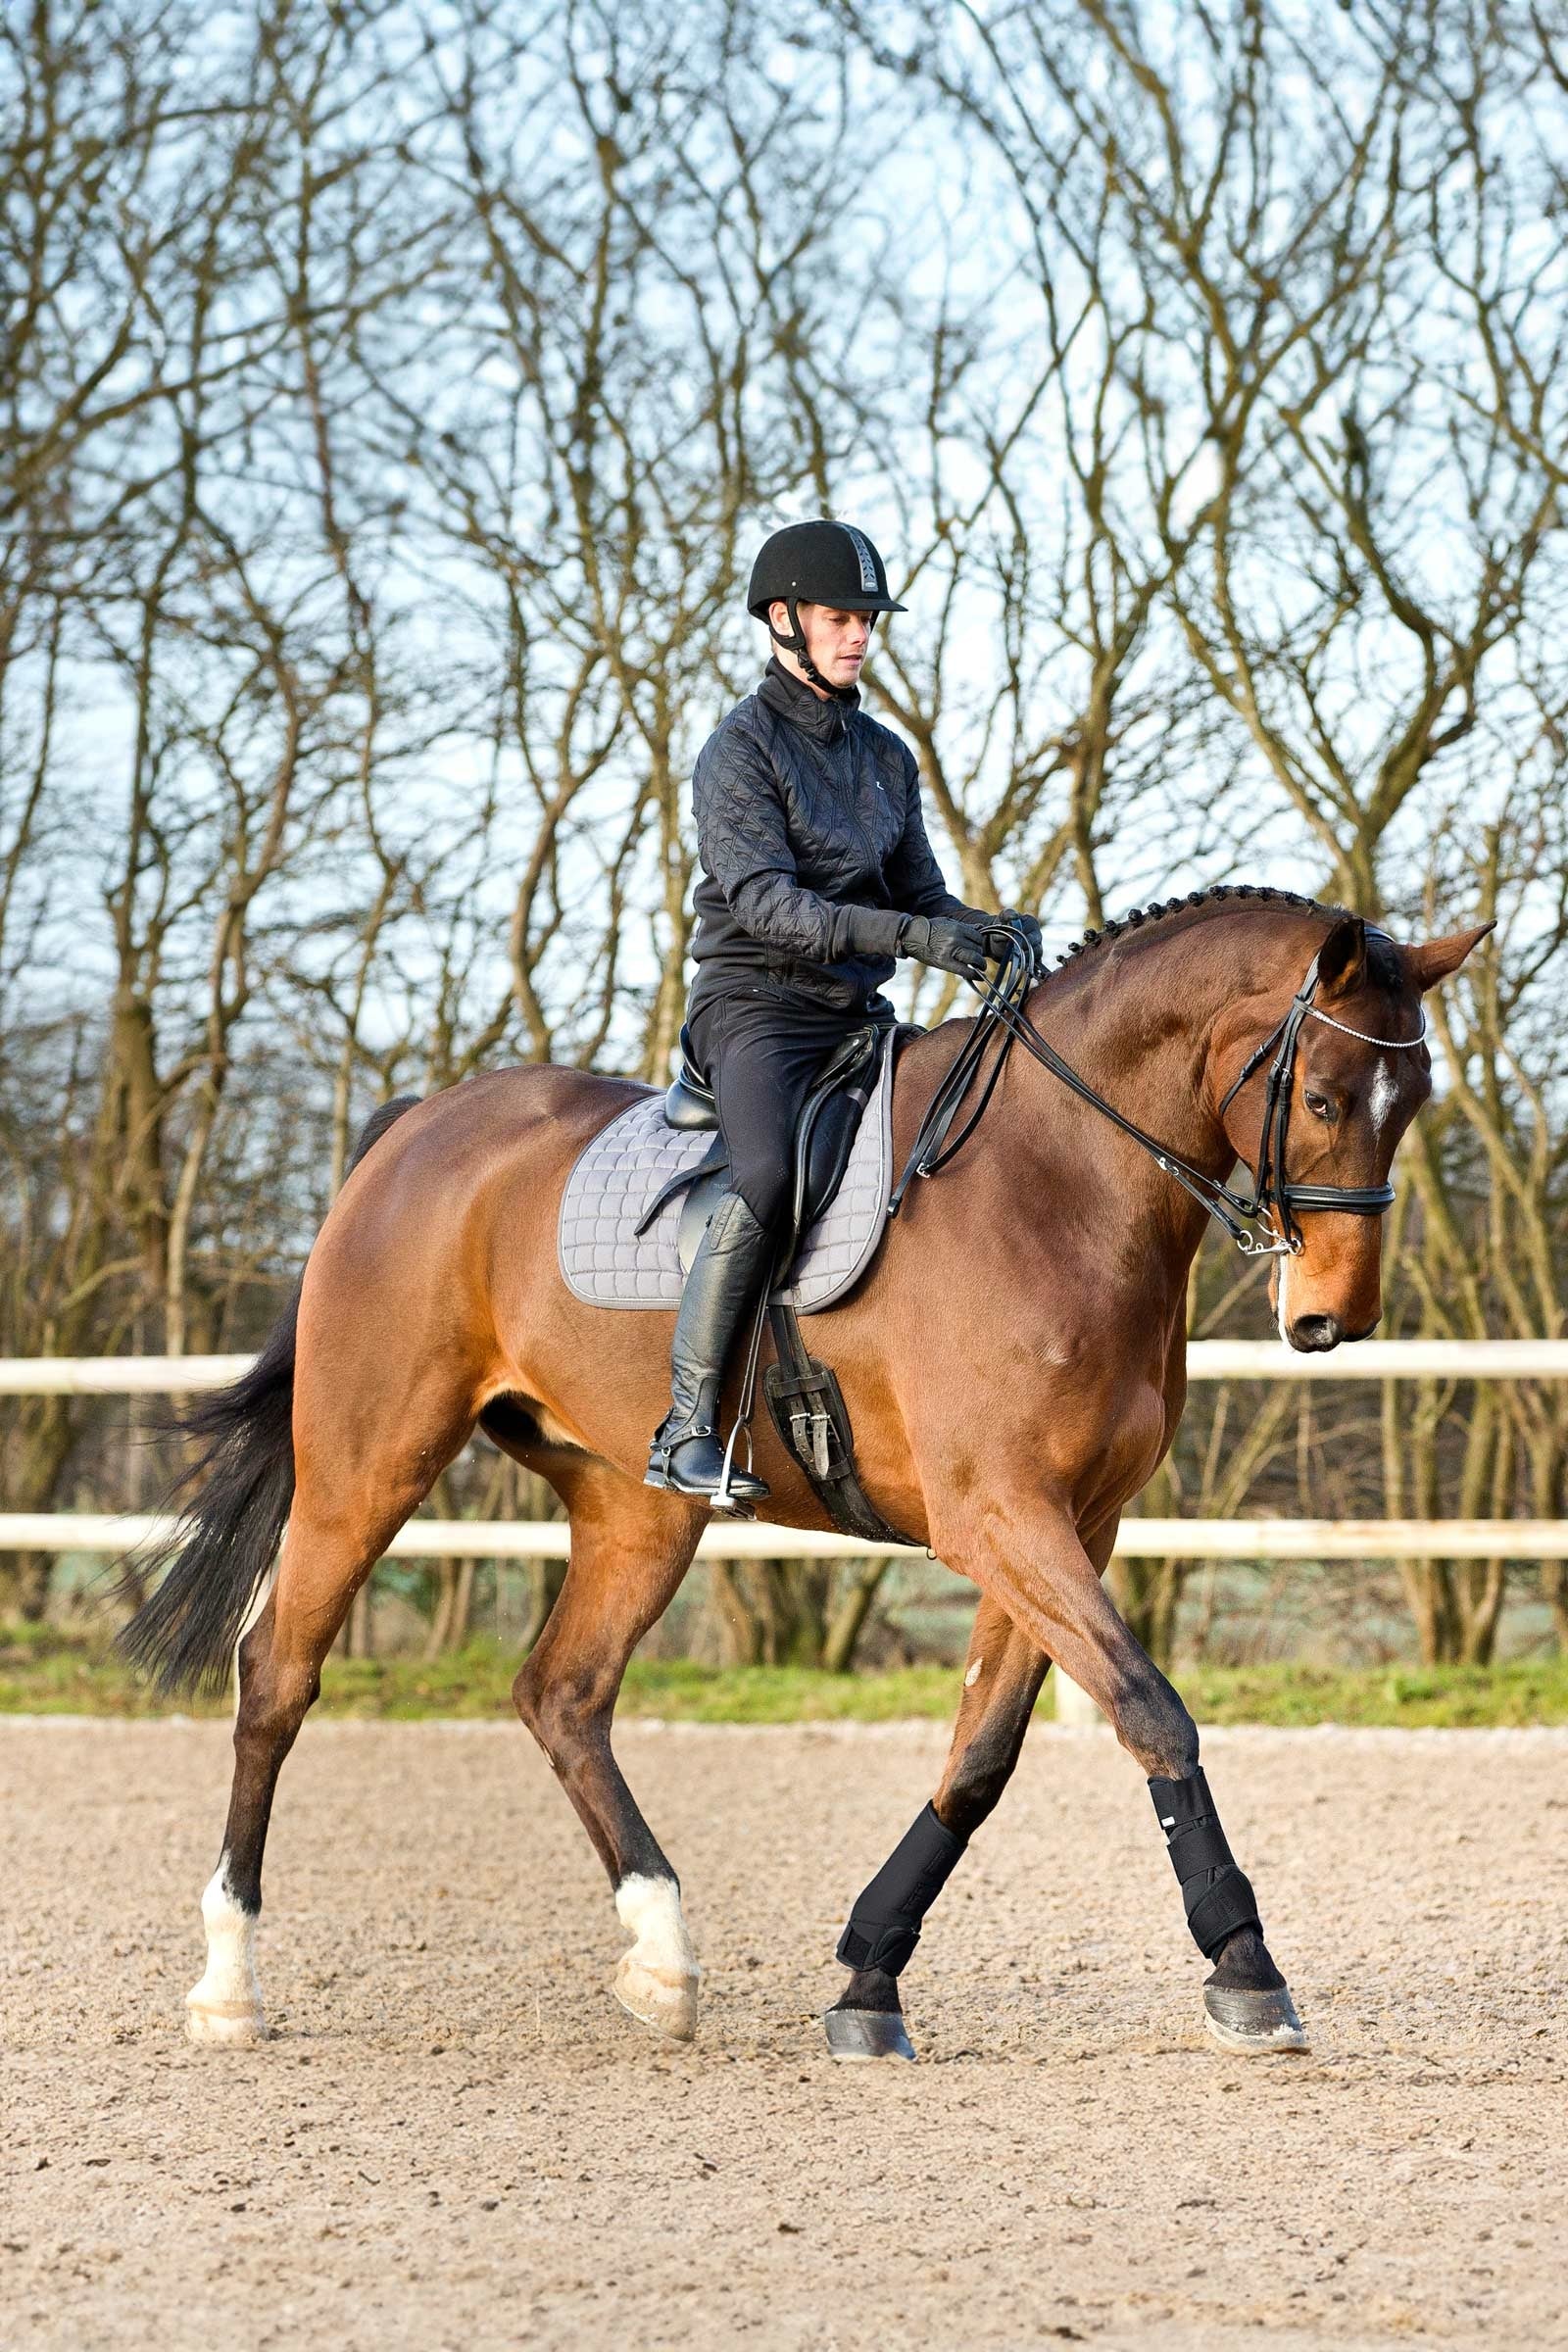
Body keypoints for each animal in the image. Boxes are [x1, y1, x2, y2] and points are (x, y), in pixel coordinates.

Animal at [121, 885, 1487, 2059]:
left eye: (1411, 1098)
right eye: (1325, 1098)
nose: (1331, 1319)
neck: (1058, 1182)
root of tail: (415, 1129)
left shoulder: (1071, 1527)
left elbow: (979, 1760)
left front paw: (869, 1978)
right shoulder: (999, 1515)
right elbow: (1151, 1712)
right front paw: (1247, 1971)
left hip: (633, 1509)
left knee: (562, 1694)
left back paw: (662, 1960)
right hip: (367, 1464)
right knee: (277, 1675)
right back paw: (228, 1985)